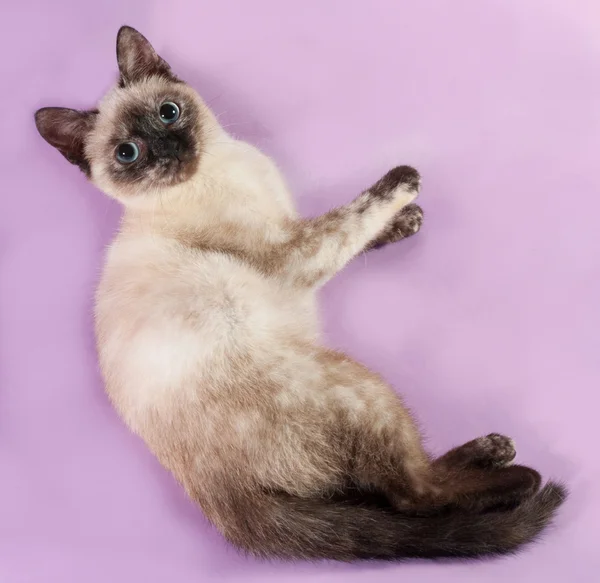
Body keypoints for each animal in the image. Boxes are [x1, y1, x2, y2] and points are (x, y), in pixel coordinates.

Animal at [35, 26, 564, 560]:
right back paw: (518, 477)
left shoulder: (293, 226)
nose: (169, 149)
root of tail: (217, 499)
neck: (222, 171)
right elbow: (349, 219)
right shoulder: (294, 253)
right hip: (361, 388)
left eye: (169, 112)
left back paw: (493, 451)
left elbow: (356, 235)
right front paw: (404, 182)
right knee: (412, 494)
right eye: (128, 154)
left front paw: (407, 221)